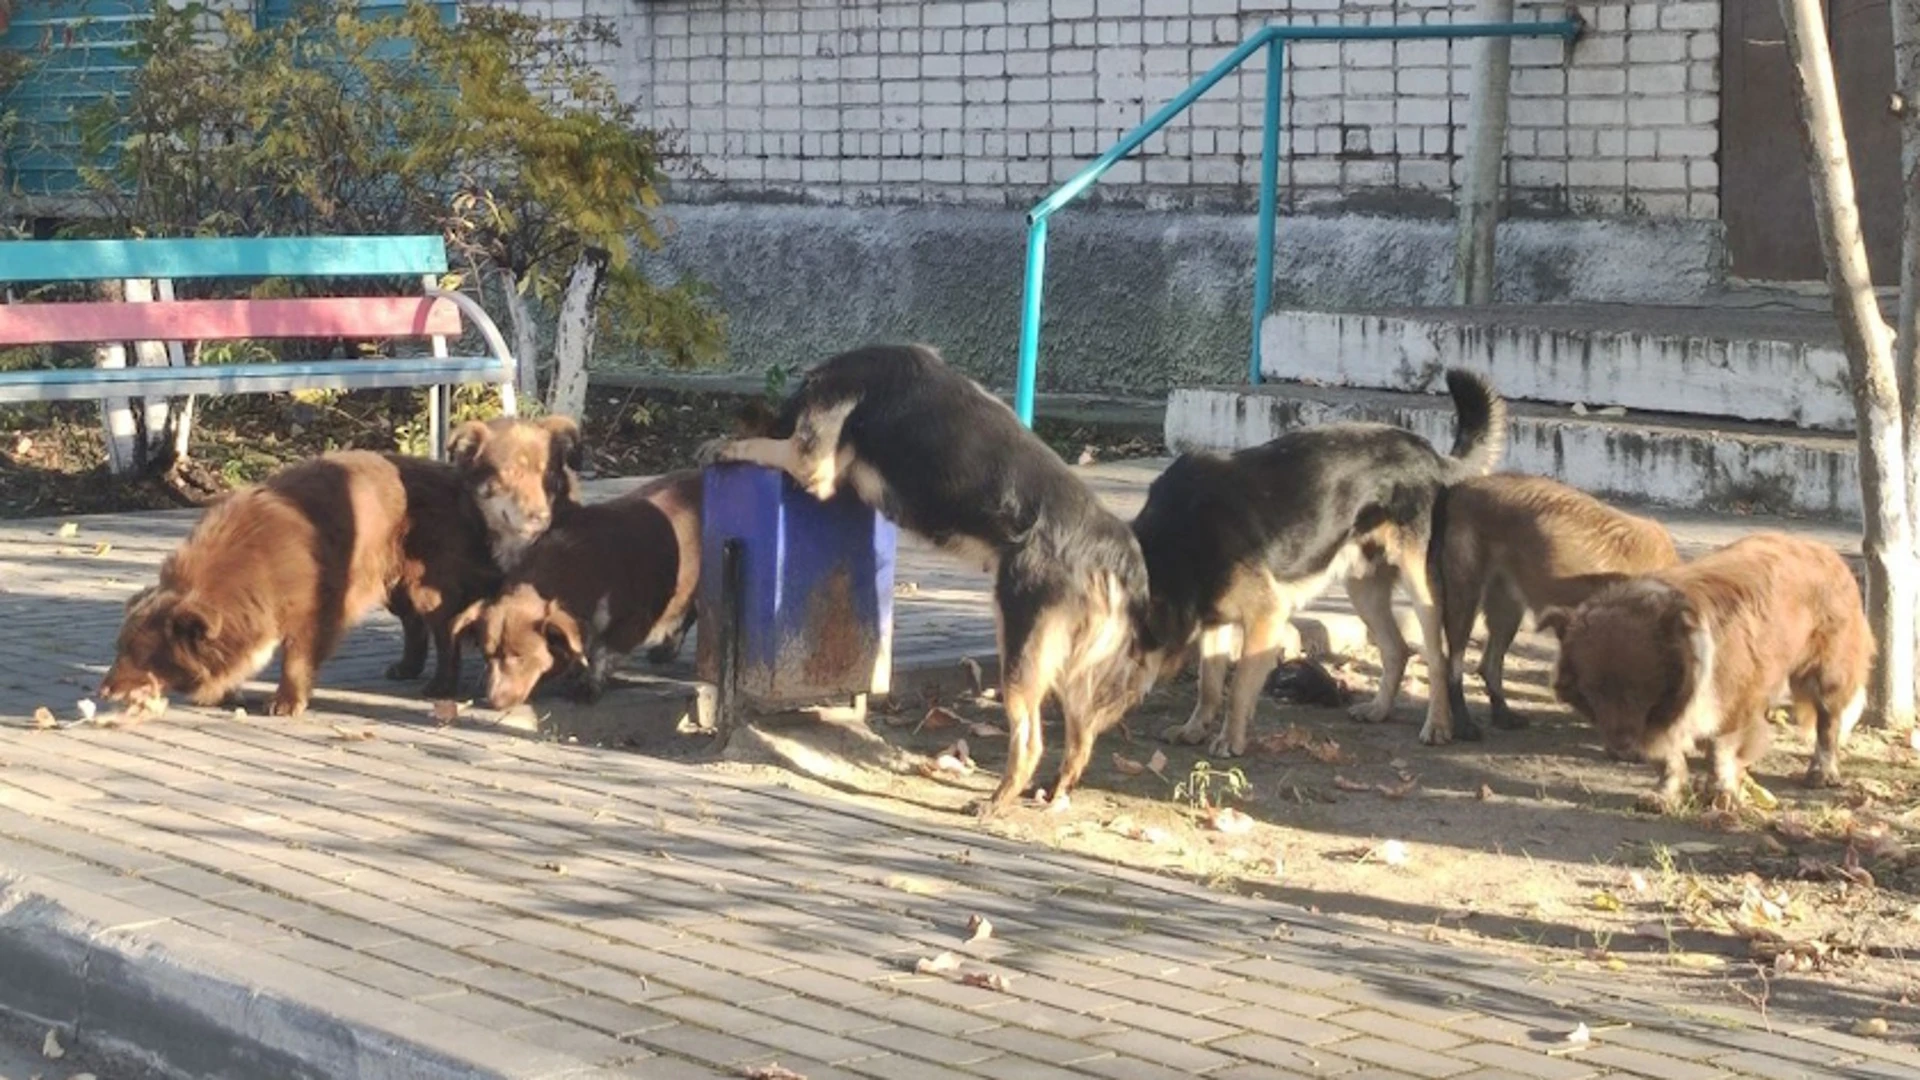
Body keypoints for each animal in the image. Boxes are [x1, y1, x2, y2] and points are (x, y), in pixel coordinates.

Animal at [453, 468, 702, 707]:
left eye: (520, 657)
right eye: (487, 656)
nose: (493, 702)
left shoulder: (635, 619)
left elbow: (604, 652)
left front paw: (586, 689)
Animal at [710, 343, 1144, 814]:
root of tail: (1112, 546)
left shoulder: (811, 460)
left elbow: (761, 444)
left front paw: (725, 444)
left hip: (1020, 647)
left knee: (1030, 741)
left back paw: (995, 802)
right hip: (1071, 666)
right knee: (1081, 738)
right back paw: (1052, 792)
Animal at [1436, 472, 1674, 734]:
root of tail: (1462, 486)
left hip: (1507, 611)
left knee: (1489, 666)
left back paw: (1502, 714)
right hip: (1465, 600)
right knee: (1453, 666)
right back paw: (1463, 724)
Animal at [1543, 530, 1873, 807]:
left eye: (1638, 690)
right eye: (1593, 691)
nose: (1622, 747)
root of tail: (1825, 551)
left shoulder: (1730, 698)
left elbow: (1720, 749)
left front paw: (1722, 792)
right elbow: (1668, 756)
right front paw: (1665, 793)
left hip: (1825, 672)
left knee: (1828, 722)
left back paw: (1823, 771)